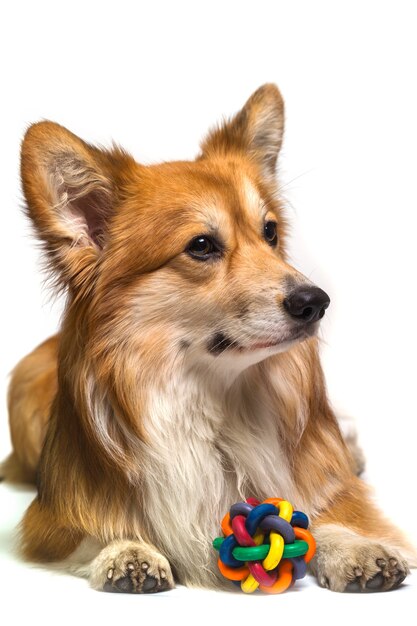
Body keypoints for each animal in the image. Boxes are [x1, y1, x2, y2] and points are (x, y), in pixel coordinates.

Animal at [1, 85, 414, 592]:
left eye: (270, 232)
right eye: (201, 246)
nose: (316, 301)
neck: (211, 401)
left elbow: (327, 514)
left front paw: (354, 547)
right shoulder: (51, 519)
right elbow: (92, 530)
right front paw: (127, 548)